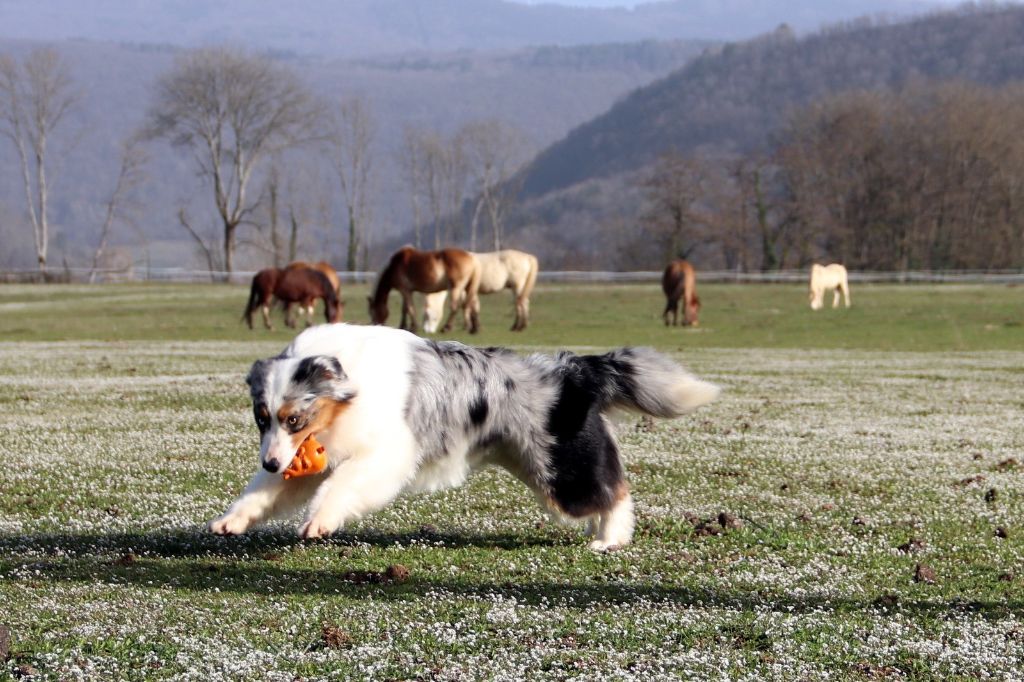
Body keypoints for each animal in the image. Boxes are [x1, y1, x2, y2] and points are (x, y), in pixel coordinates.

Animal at [209, 321, 720, 548]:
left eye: (294, 419)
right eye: (262, 418)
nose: (270, 460)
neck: (347, 380)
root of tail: (573, 371)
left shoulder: (385, 453)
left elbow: (341, 486)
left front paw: (319, 521)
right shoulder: (309, 457)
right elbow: (263, 492)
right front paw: (231, 520)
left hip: (563, 469)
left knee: (615, 492)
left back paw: (609, 539)